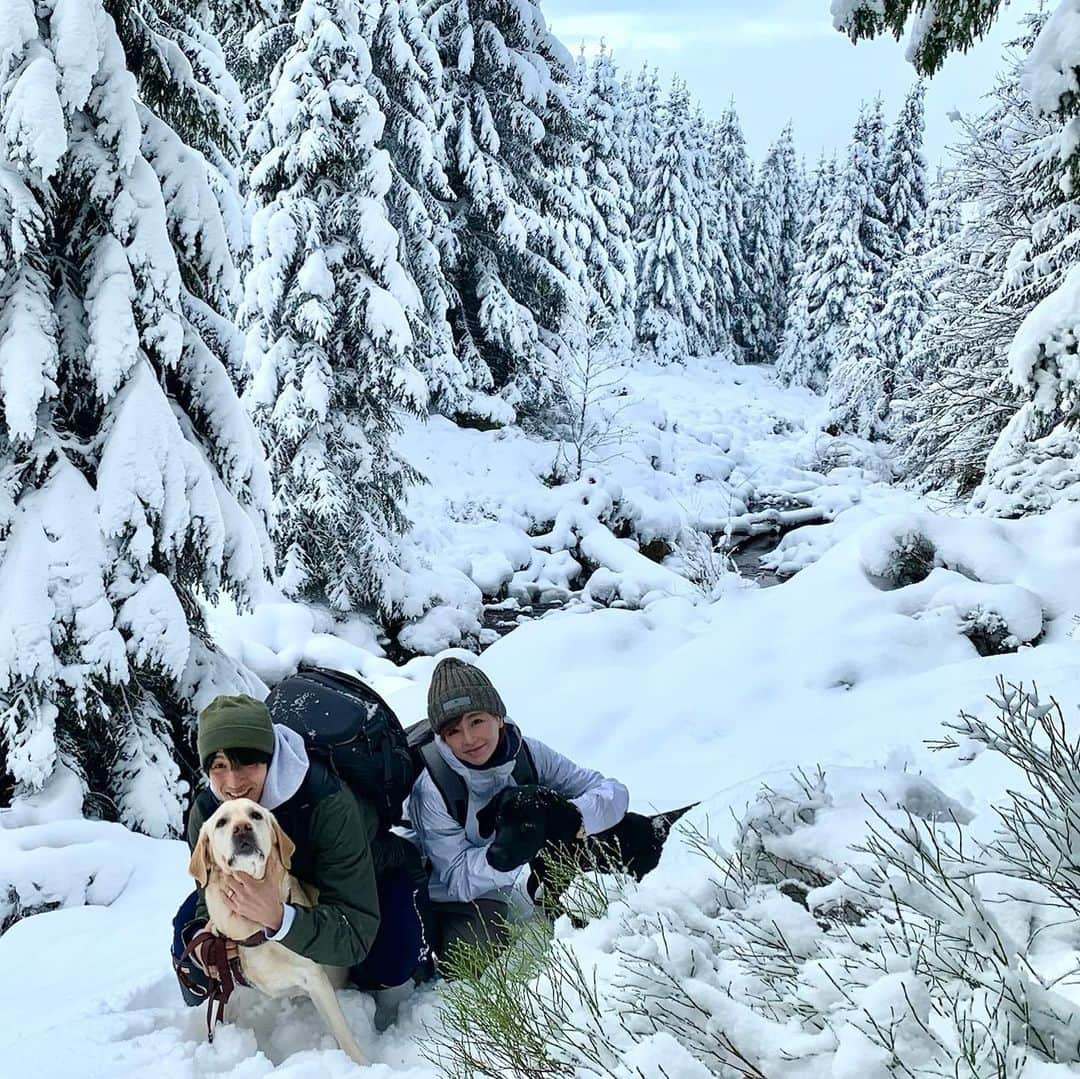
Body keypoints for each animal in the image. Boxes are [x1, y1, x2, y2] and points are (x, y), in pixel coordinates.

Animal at [187, 799, 369, 1067]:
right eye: (222, 822)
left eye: (255, 815)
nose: (242, 828)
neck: (253, 930)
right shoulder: (227, 982)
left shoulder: (316, 980)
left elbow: (342, 1031)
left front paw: (363, 1065)